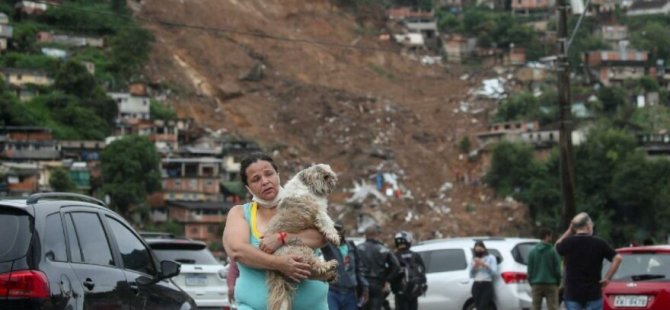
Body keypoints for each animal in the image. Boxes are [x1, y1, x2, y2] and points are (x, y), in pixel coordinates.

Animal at [266, 163, 342, 310]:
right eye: (325, 175)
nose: (333, 178)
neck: (307, 185)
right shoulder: (319, 212)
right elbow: (327, 222)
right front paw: (334, 237)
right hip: (301, 249)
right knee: (316, 265)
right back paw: (329, 265)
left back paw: (330, 275)